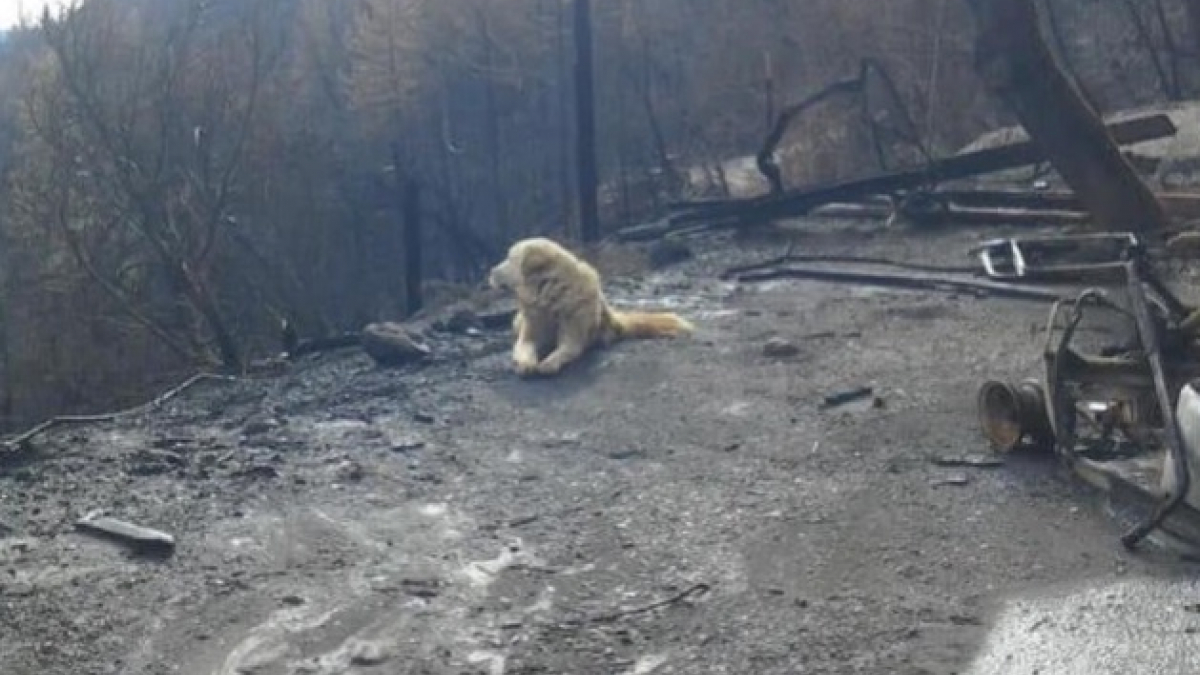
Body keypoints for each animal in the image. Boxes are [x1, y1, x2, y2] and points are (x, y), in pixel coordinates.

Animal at [487, 236, 696, 374]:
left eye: (510, 259)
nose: (491, 270)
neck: (549, 295)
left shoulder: (573, 331)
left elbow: (566, 348)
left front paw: (549, 363)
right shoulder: (533, 326)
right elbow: (524, 345)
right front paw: (525, 363)